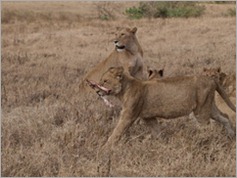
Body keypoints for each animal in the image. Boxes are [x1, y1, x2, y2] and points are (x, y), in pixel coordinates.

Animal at [96, 66, 235, 148]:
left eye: (105, 81)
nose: (97, 91)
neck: (123, 90)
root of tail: (211, 79)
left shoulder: (128, 116)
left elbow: (116, 132)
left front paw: (104, 148)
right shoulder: (149, 118)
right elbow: (157, 132)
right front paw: (163, 144)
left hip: (201, 110)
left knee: (207, 127)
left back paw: (204, 141)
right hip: (209, 106)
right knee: (225, 117)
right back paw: (231, 136)